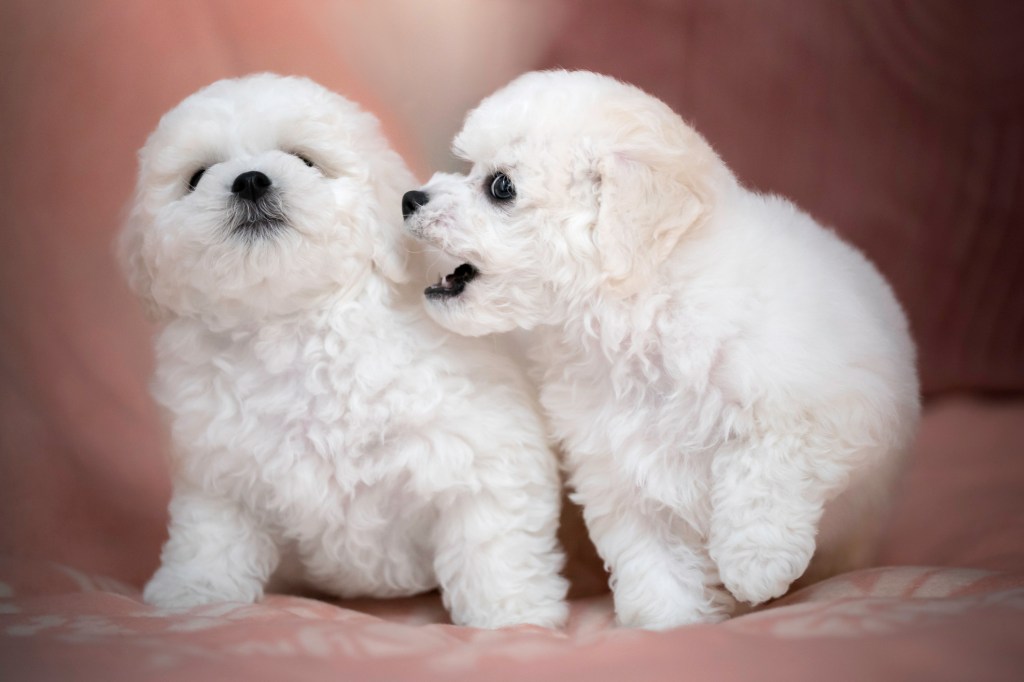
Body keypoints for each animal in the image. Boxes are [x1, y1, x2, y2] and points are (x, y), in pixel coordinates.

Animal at [120, 74, 573, 626]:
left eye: (305, 159)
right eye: (196, 176)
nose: (249, 180)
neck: (296, 324)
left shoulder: (482, 454)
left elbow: (492, 539)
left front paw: (511, 616)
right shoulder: (217, 472)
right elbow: (211, 538)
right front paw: (194, 595)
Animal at [403, 71, 925, 630]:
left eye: (500, 186)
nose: (410, 199)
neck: (646, 313)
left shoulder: (829, 408)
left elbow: (765, 469)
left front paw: (754, 564)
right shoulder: (622, 475)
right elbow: (655, 560)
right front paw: (671, 624)